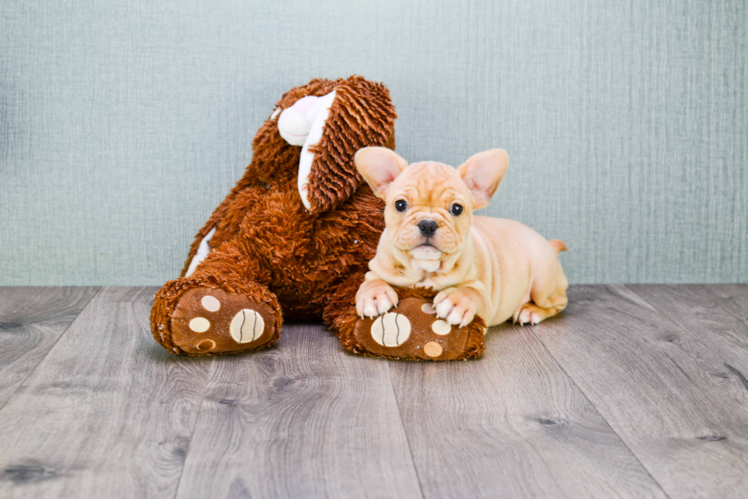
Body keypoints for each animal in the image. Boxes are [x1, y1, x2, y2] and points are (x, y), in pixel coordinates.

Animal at [354, 146, 568, 330]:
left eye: (457, 209)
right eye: (400, 205)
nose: (428, 223)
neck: (424, 269)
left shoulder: (485, 299)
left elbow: (471, 292)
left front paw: (456, 301)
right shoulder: (375, 271)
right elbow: (370, 282)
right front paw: (374, 296)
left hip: (543, 283)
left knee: (558, 303)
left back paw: (529, 311)